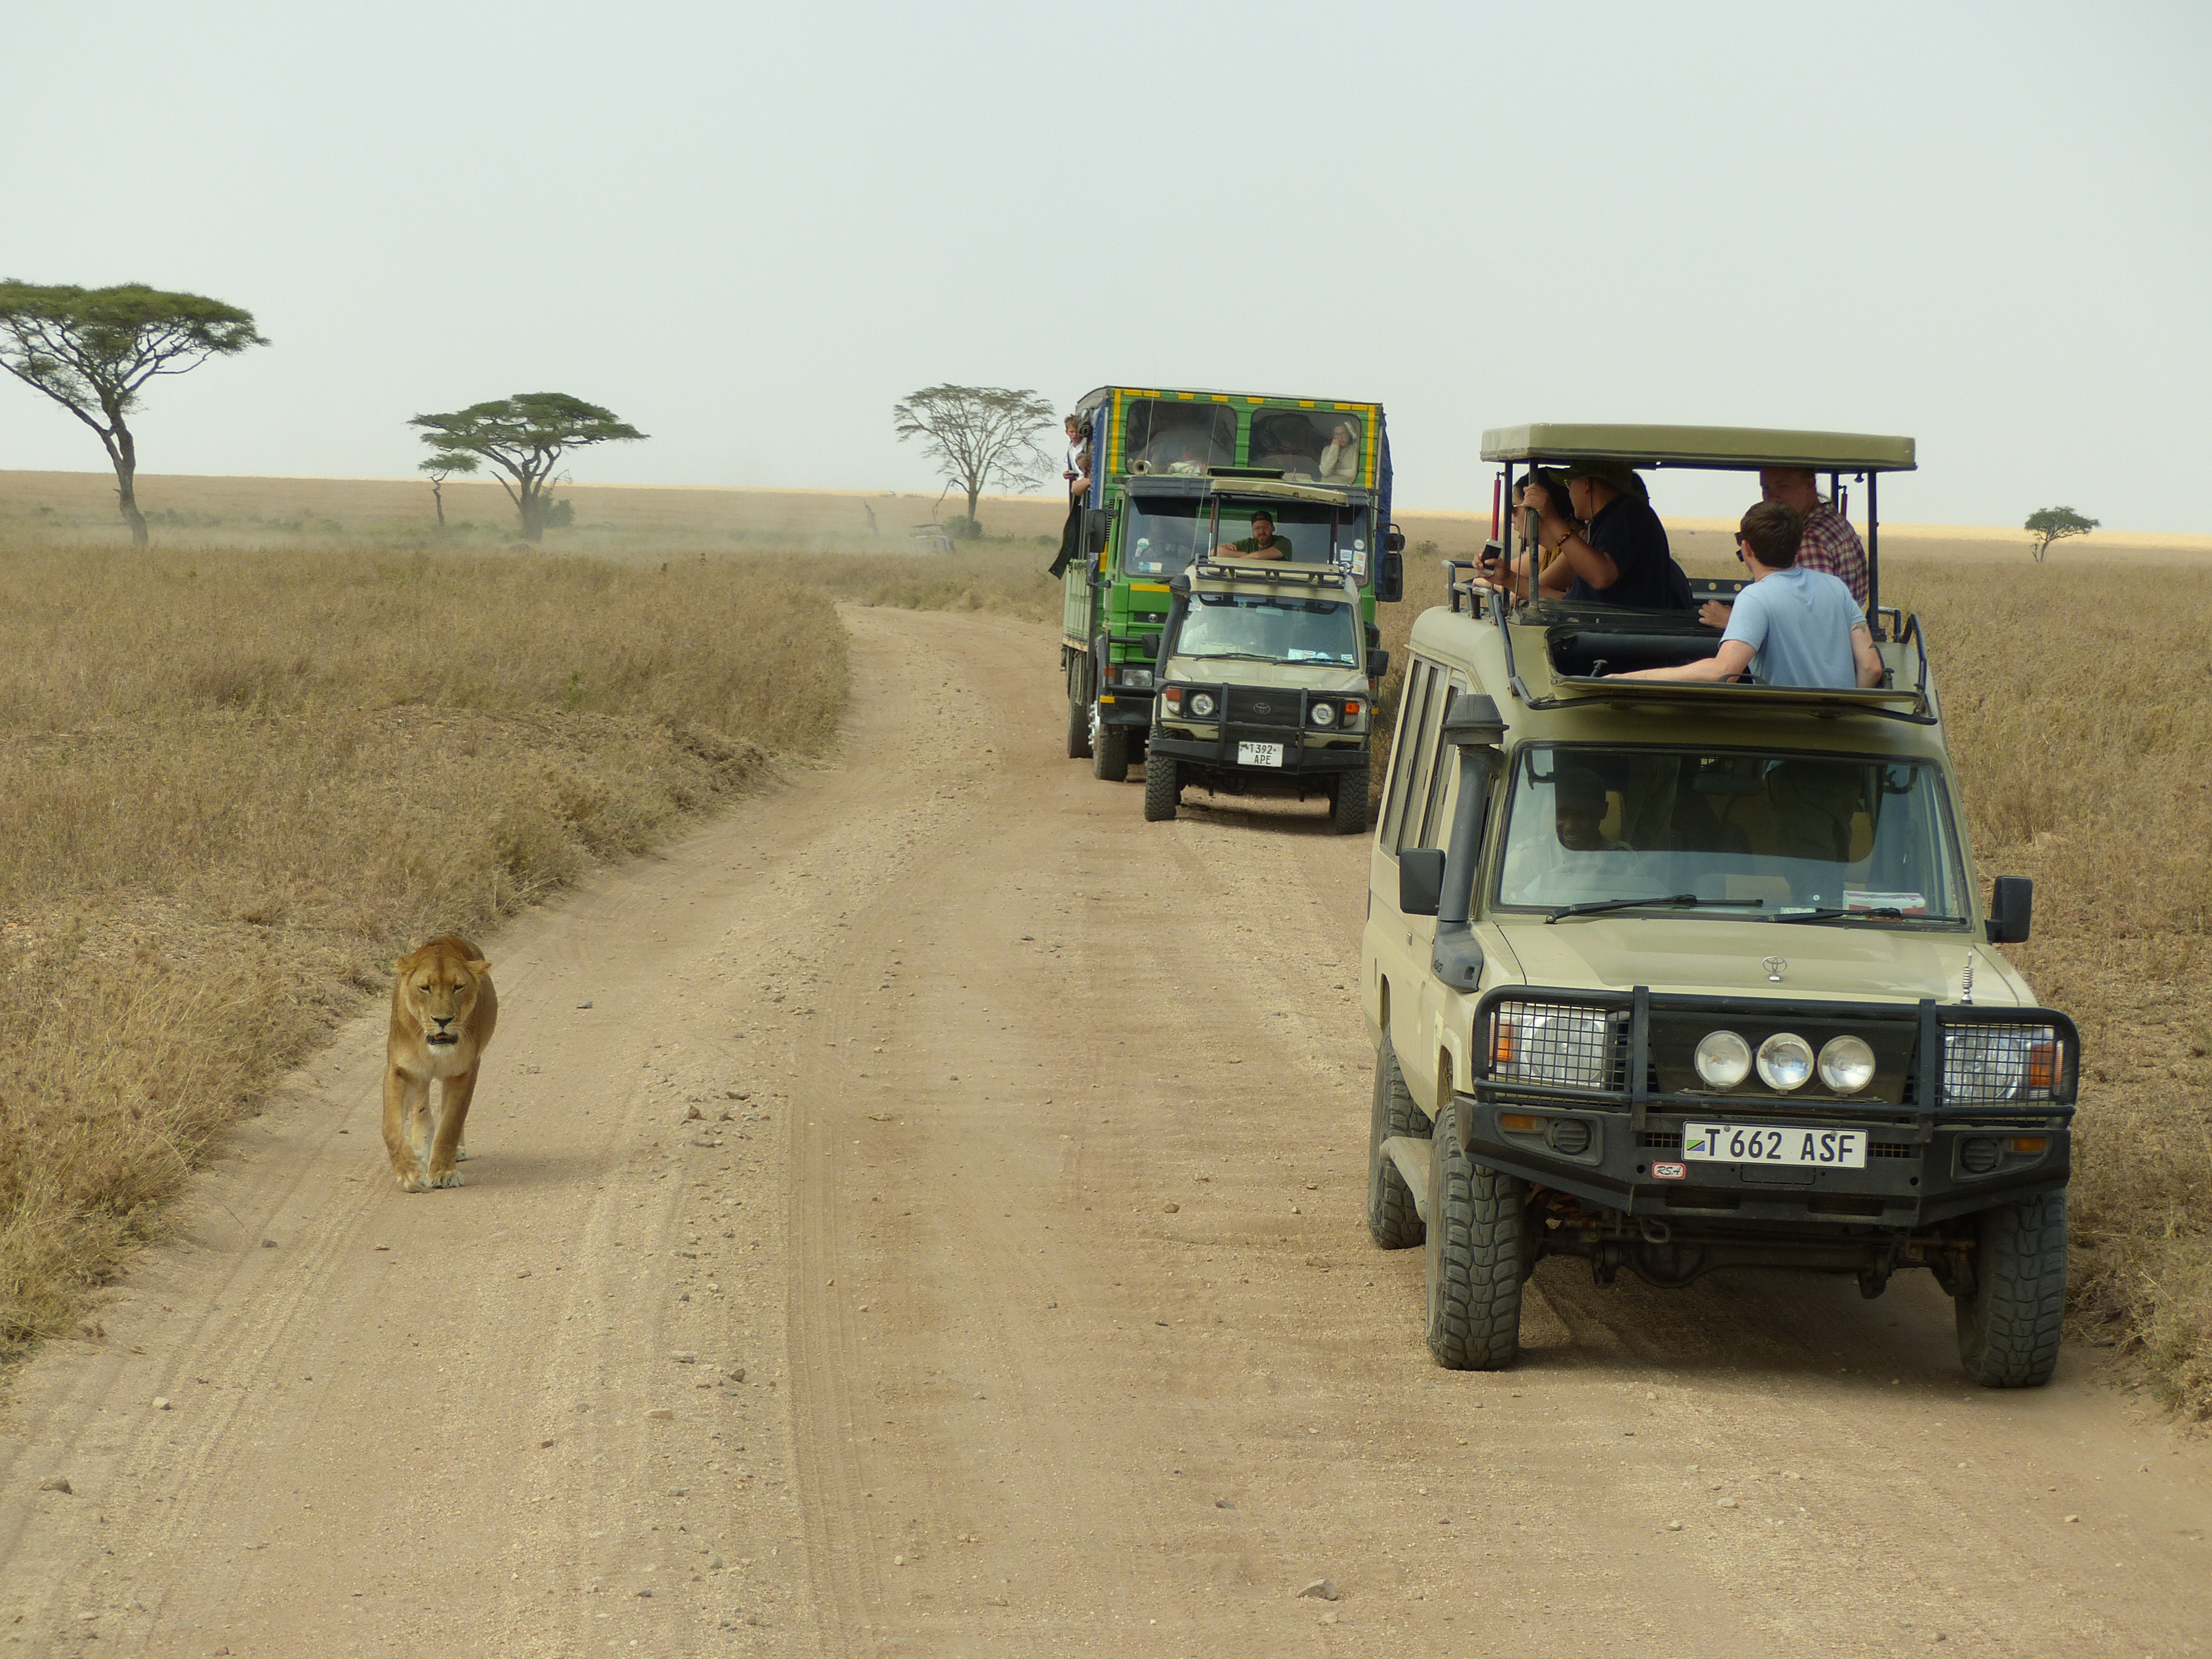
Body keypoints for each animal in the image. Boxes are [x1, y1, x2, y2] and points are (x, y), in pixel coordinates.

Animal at [383, 935, 498, 1193]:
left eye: (458, 987)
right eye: (425, 988)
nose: (442, 1020)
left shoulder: (464, 1072)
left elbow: (451, 1124)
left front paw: (443, 1173)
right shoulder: (401, 1071)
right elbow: (391, 1129)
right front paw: (410, 1173)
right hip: (421, 1076)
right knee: (421, 1108)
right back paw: (421, 1150)